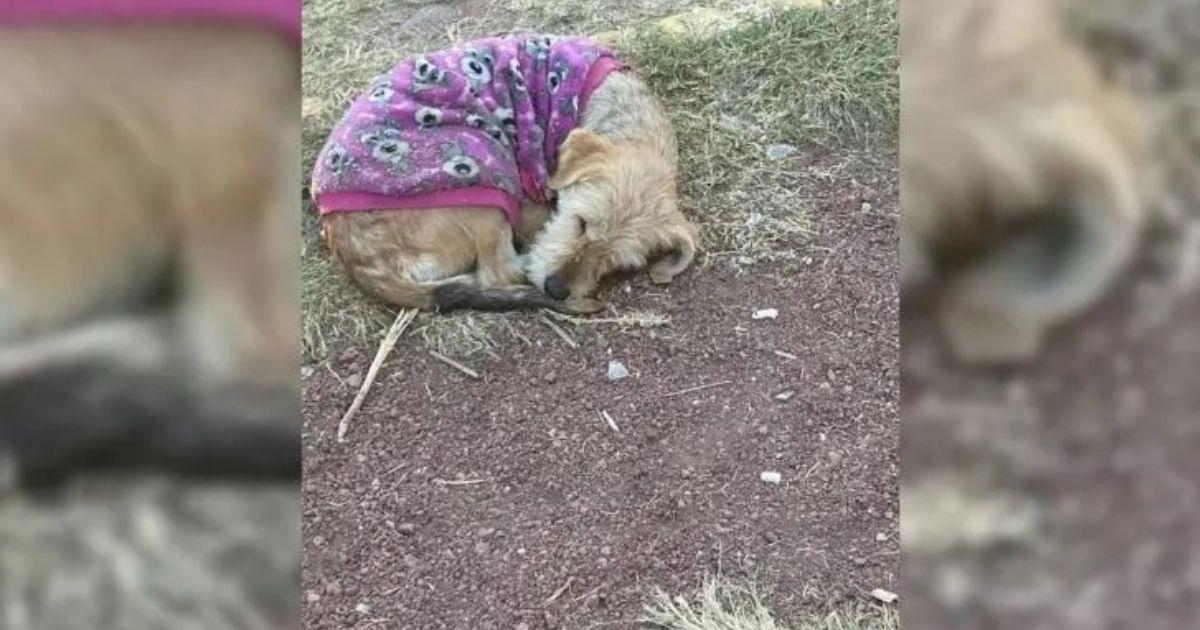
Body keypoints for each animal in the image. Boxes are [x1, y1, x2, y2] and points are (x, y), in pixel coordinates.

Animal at [314, 33, 700, 312]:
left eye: (617, 263)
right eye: (580, 222)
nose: (556, 289)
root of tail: (355, 254)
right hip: (486, 178)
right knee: (497, 273)